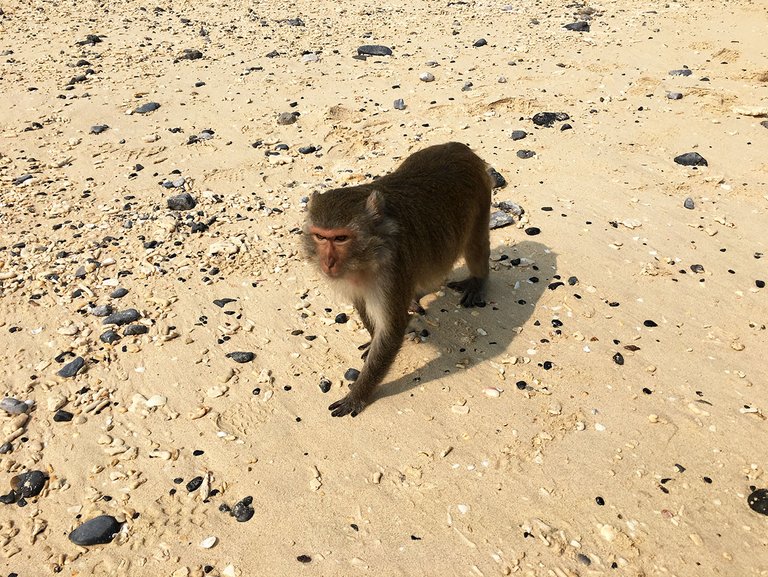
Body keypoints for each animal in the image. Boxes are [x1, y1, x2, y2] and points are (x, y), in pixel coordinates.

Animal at [302, 142, 492, 416]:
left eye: (340, 238)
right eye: (320, 236)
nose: (328, 263)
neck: (369, 254)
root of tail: (457, 147)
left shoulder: (393, 269)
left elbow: (392, 331)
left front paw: (358, 395)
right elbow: (365, 307)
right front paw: (373, 340)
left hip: (481, 196)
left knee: (474, 246)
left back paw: (477, 280)